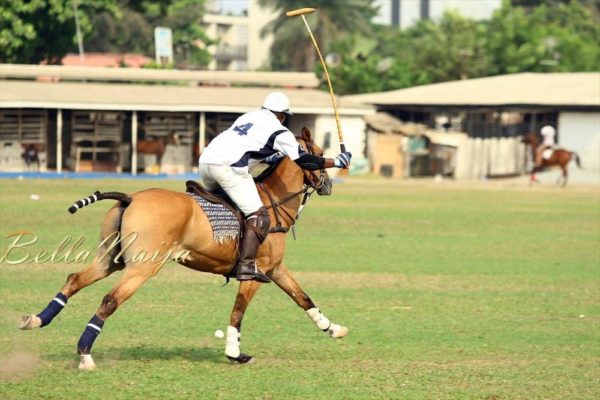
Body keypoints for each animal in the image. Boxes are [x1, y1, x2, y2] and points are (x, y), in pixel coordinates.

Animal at [18, 127, 346, 368]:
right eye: (319, 154)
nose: (328, 185)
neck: (272, 200)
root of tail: (130, 198)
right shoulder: (255, 273)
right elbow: (238, 312)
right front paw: (234, 353)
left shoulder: (275, 268)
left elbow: (302, 297)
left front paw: (333, 328)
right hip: (144, 266)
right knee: (110, 300)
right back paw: (85, 354)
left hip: (109, 258)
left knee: (75, 279)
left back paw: (36, 320)